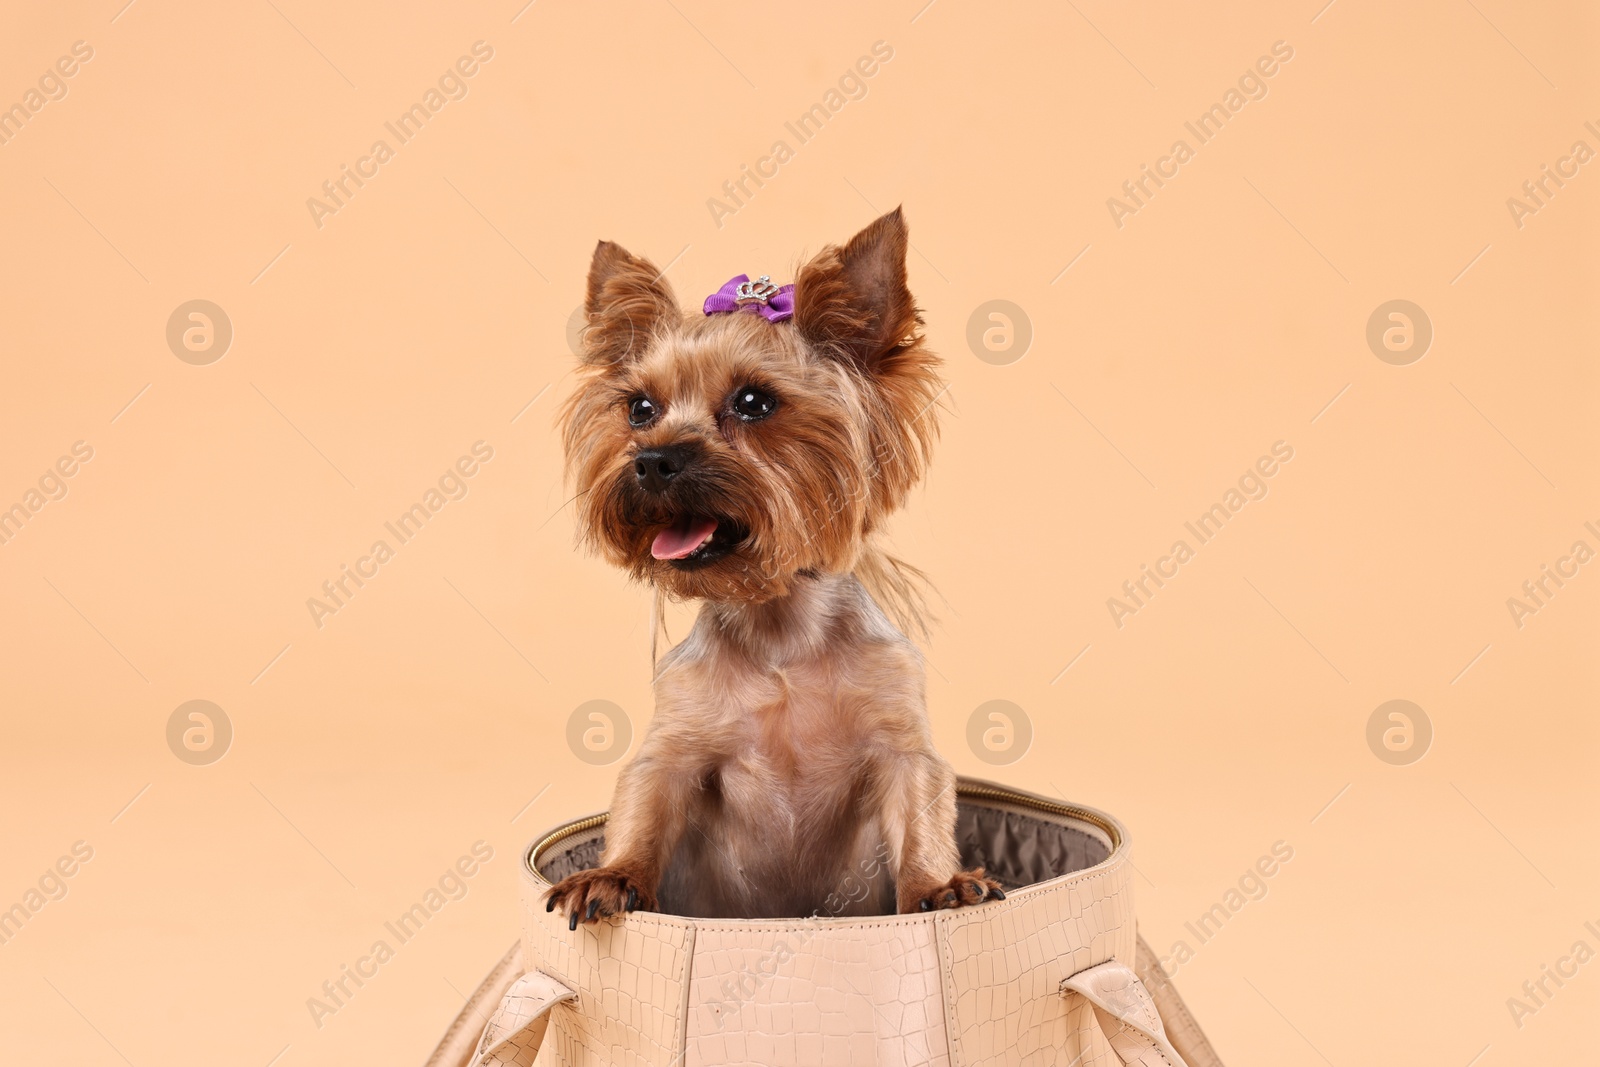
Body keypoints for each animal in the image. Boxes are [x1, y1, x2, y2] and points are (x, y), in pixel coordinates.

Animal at [550, 207, 998, 927]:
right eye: (639, 409)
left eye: (755, 402)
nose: (651, 460)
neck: (778, 624)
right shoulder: (673, 746)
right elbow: (642, 805)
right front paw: (612, 875)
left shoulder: (900, 741)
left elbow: (920, 812)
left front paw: (941, 885)